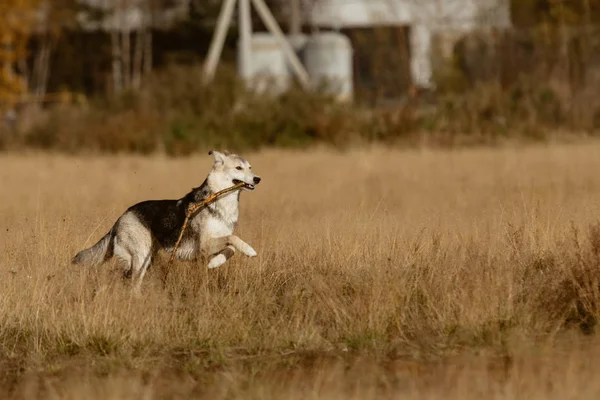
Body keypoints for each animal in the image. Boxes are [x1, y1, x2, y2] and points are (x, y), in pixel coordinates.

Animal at [72, 150, 260, 290]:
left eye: (250, 167)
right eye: (238, 168)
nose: (258, 179)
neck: (219, 199)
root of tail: (121, 217)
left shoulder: (211, 245)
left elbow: (231, 248)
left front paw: (215, 263)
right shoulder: (205, 244)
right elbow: (234, 239)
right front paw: (250, 250)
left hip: (147, 258)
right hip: (141, 256)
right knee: (133, 284)